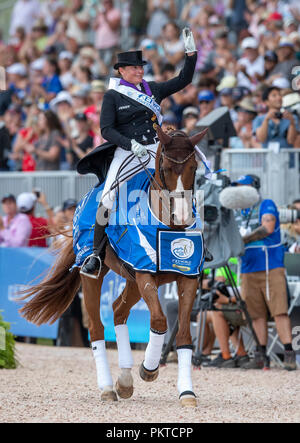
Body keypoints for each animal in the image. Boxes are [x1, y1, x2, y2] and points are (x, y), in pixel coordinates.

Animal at [19, 126, 206, 408]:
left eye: (193, 167)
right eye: (165, 167)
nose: (183, 216)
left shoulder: (187, 277)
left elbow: (183, 334)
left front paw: (186, 392)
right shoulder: (145, 273)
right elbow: (159, 320)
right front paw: (148, 369)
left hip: (133, 280)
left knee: (118, 310)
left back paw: (125, 381)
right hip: (96, 276)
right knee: (97, 329)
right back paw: (108, 387)